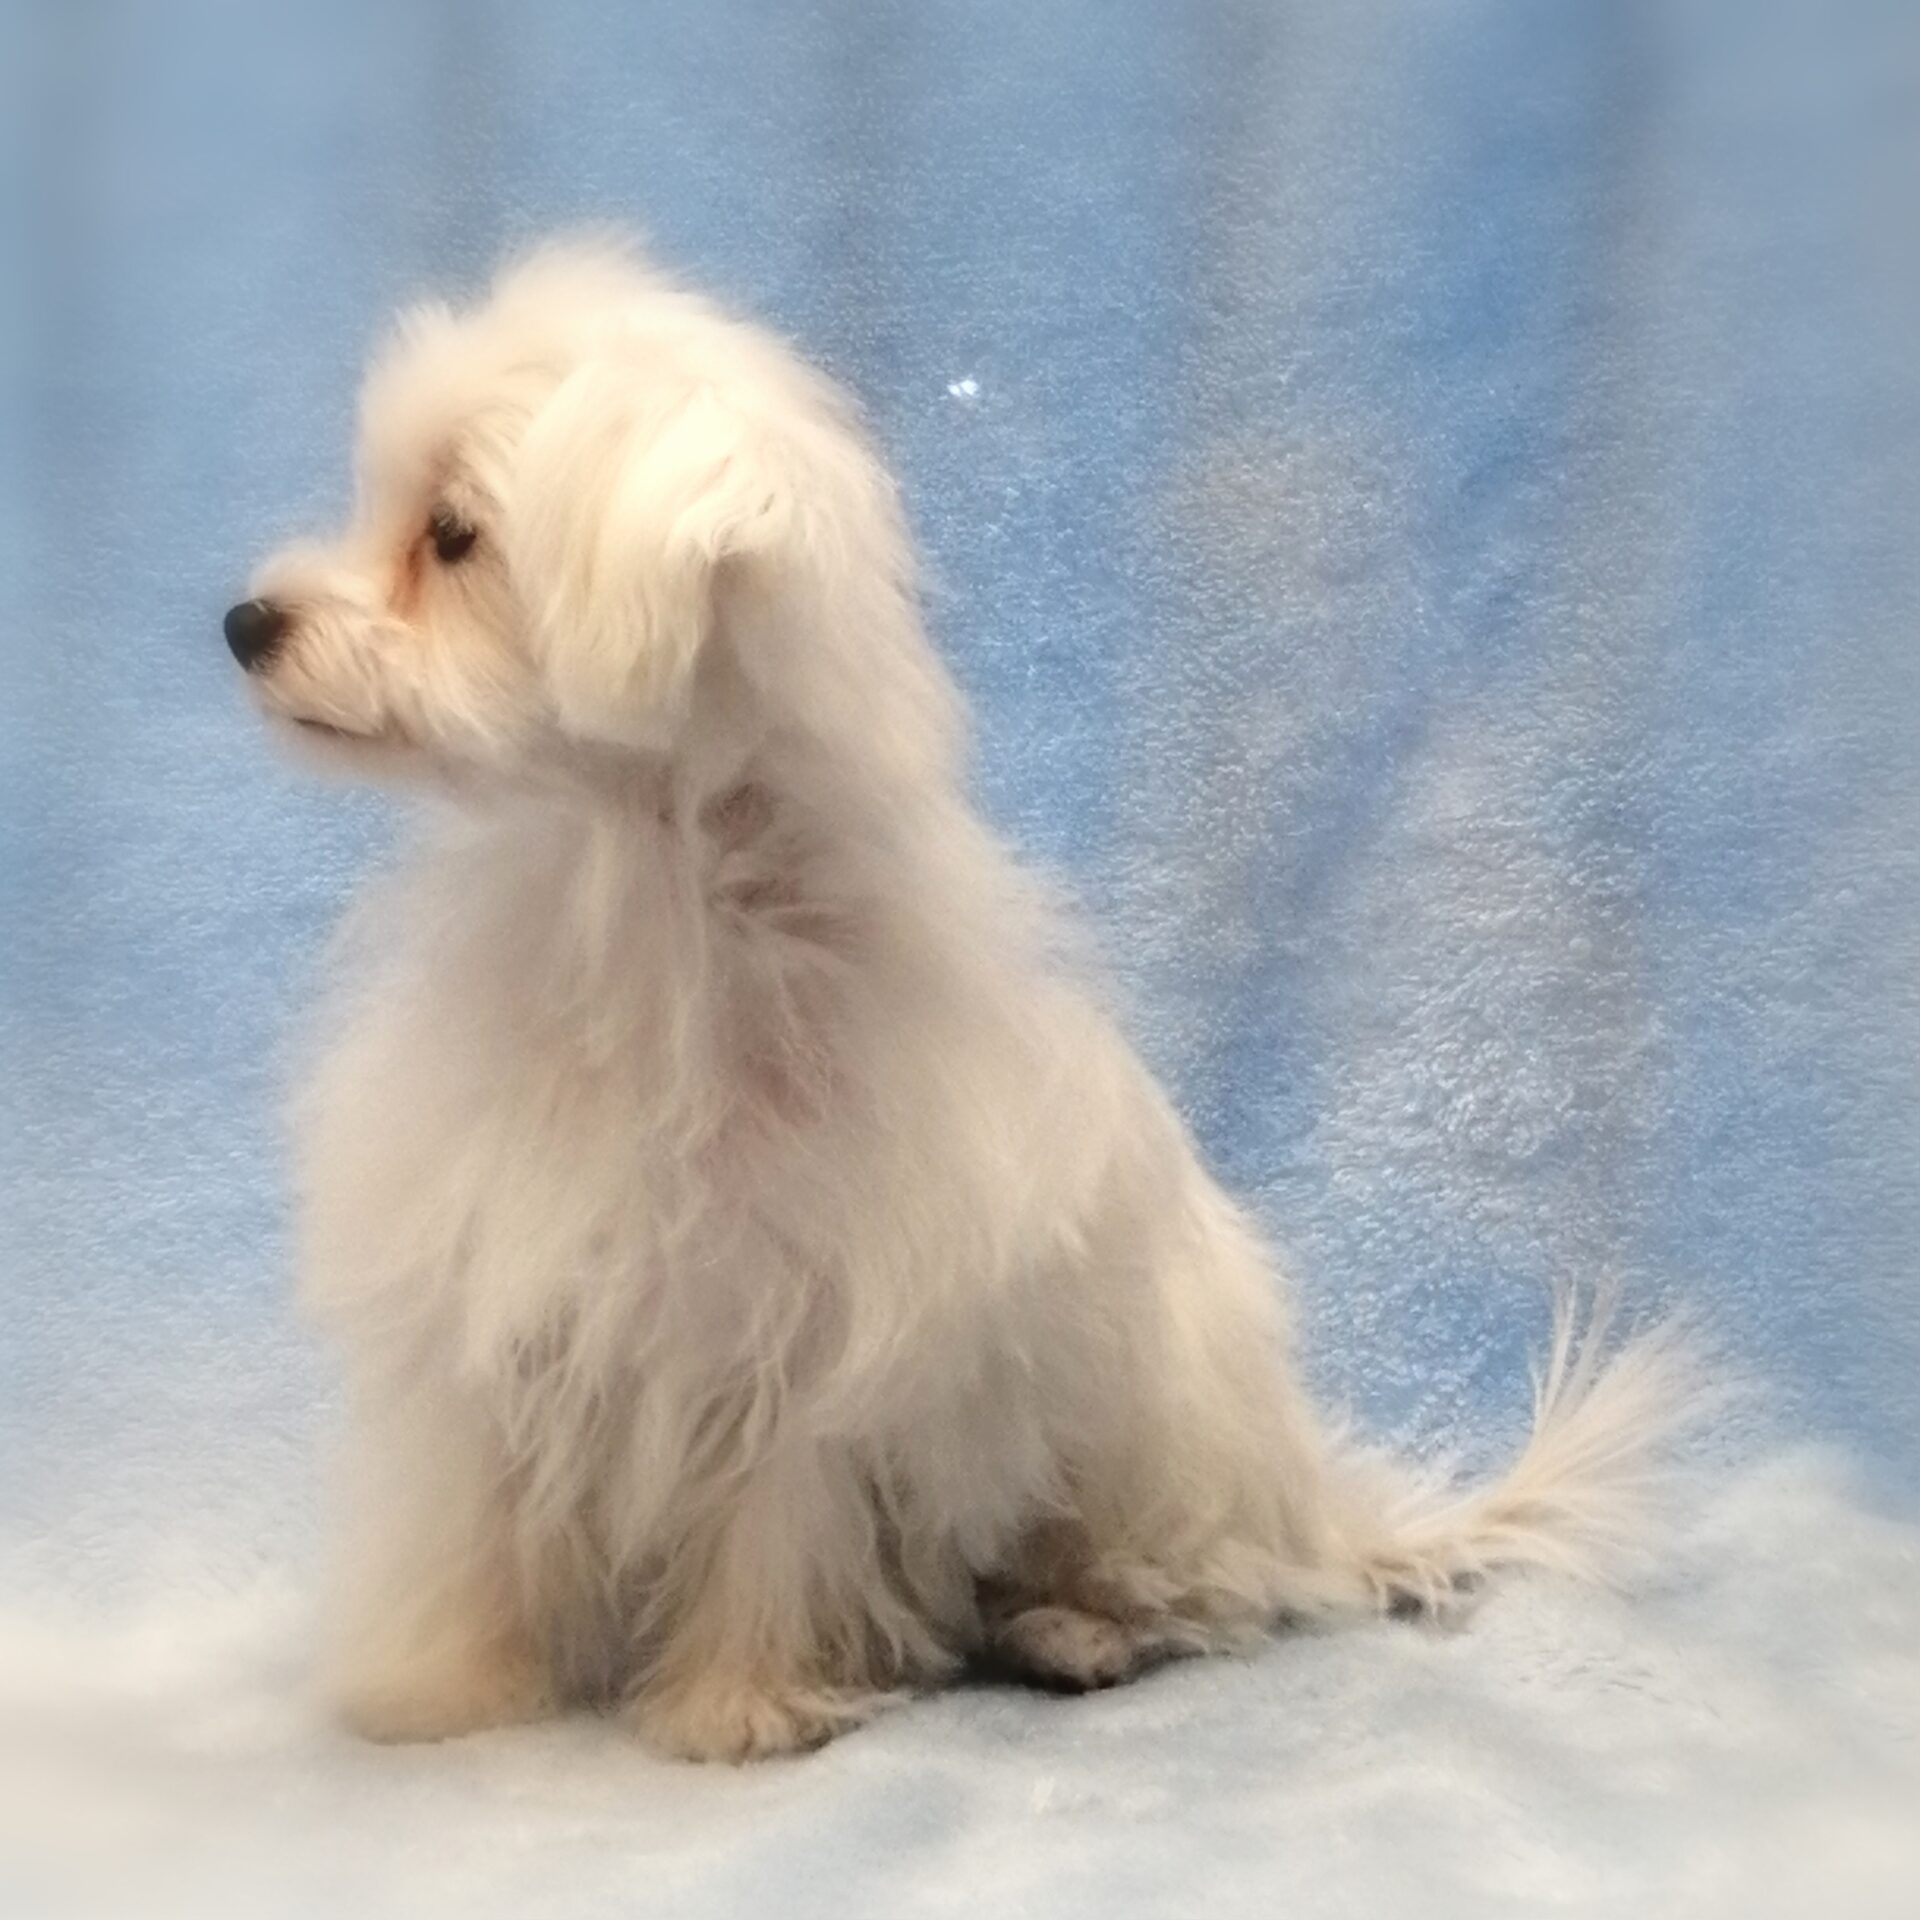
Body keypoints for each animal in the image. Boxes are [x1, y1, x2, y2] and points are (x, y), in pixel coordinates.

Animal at [225, 236, 1694, 1763]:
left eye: (452, 536)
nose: (246, 622)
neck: (650, 904)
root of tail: (1324, 1513)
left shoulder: (817, 1323)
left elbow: (775, 1516)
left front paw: (737, 1701)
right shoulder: (492, 1280)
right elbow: (467, 1507)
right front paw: (442, 1686)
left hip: (1161, 1439)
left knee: (1207, 1591)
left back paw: (1076, 1633)